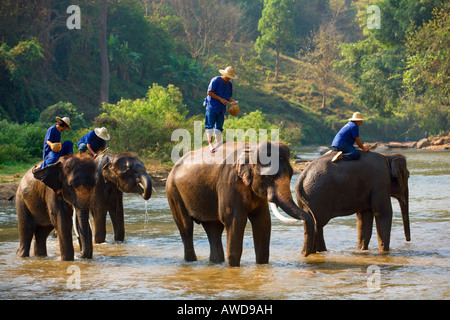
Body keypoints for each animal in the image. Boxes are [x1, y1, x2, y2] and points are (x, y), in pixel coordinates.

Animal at [163, 142, 314, 268]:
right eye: (268, 176)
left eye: (291, 174)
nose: (304, 253)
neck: (251, 148)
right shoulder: (229, 181)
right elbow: (235, 220)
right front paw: (233, 267)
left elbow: (263, 221)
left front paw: (262, 266)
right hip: (173, 191)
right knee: (186, 227)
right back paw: (192, 261)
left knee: (213, 228)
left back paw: (216, 262)